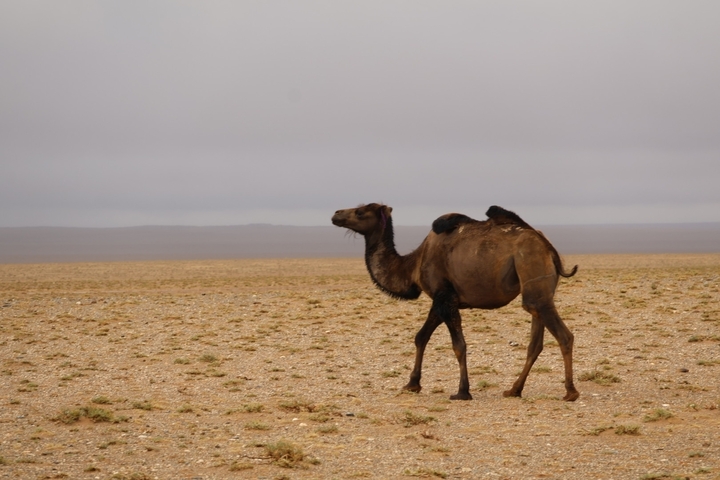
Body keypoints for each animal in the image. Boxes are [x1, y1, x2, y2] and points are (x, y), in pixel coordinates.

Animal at [331, 203, 579, 401]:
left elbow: (458, 345)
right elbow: (421, 337)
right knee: (535, 340)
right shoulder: (440, 299)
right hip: (540, 288)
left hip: (530, 264)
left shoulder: (445, 296)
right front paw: (412, 384)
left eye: (360, 211)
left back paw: (570, 392)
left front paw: (462, 392)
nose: (336, 214)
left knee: (562, 334)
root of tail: (547, 246)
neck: (414, 264)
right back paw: (514, 390)